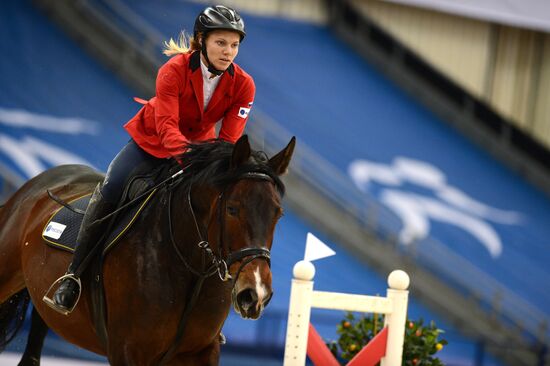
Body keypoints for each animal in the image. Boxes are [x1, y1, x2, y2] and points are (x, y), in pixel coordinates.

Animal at [0, 135, 298, 366]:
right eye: (232, 209)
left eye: (278, 214)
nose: (256, 294)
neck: (192, 269)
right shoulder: (128, 350)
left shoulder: (201, 351)